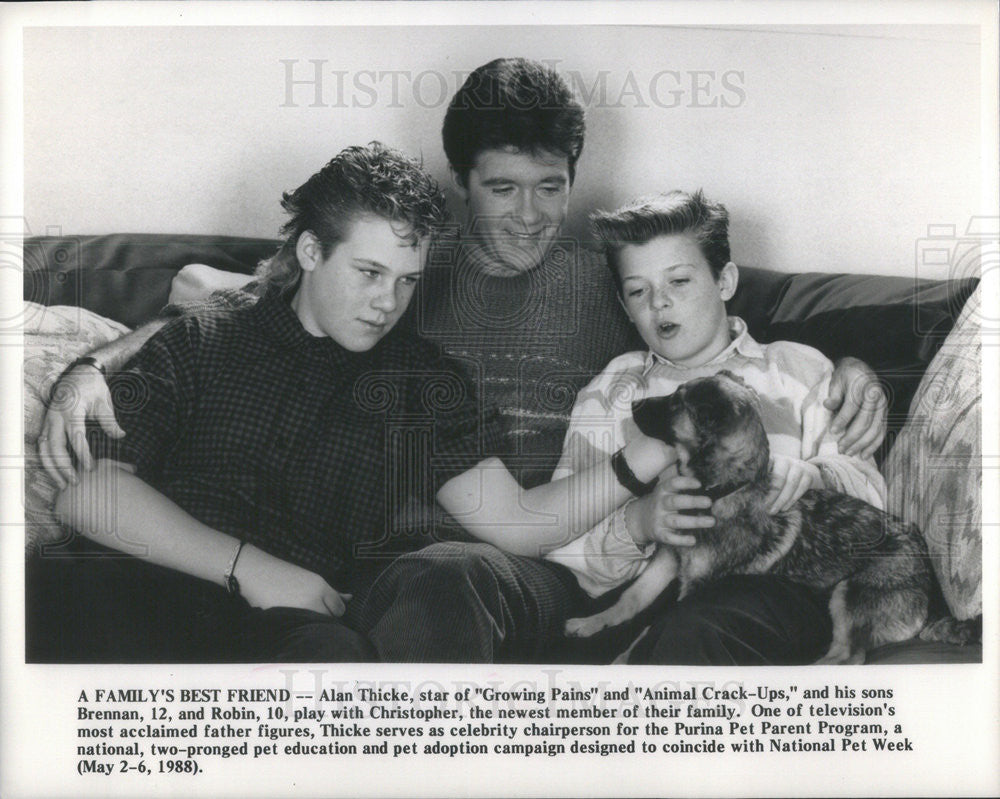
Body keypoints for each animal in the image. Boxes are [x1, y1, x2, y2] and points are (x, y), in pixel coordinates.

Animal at [568, 372, 972, 664]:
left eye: (675, 404)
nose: (634, 403)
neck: (722, 489)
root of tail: (931, 597)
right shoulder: (668, 556)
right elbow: (631, 599)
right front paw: (592, 622)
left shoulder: (694, 585)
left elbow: (650, 628)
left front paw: (624, 659)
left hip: (851, 594)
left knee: (848, 656)